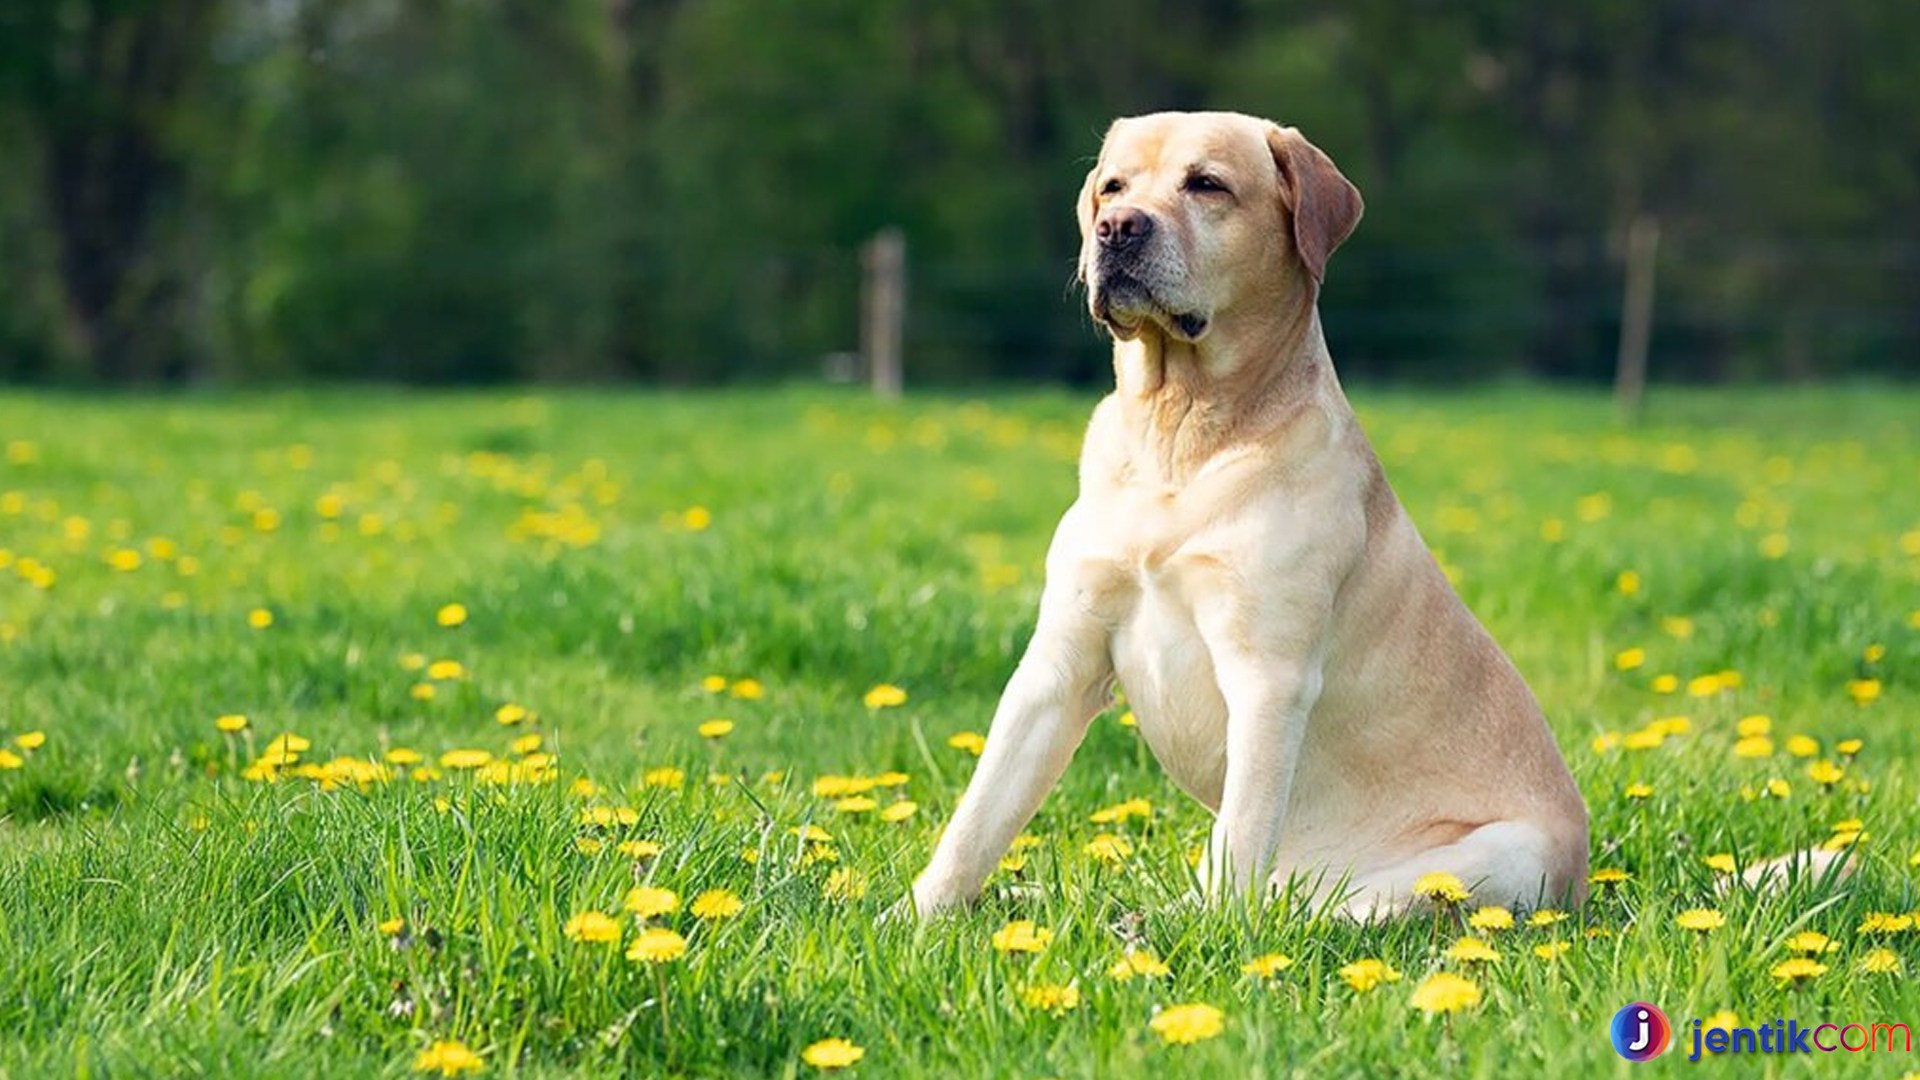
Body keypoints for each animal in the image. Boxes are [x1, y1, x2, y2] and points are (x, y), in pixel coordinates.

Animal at [913, 111, 1589, 914]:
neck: (1179, 434)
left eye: (1207, 184)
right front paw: (911, 918)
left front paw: (1212, 937)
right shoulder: (1059, 662)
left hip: (1497, 854)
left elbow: (1237, 840)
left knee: (1327, 908)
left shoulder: (1268, 677)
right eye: (1113, 186)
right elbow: (978, 817)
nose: (1116, 229)